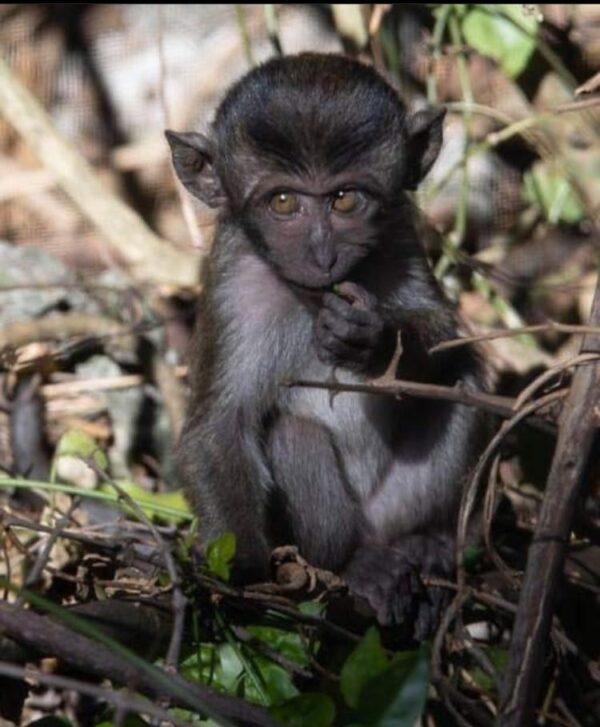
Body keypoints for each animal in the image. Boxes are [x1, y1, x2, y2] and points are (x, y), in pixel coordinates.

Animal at [166, 54, 486, 640]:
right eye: (283, 201)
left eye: (345, 199)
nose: (322, 254)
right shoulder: (233, 286)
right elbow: (218, 426)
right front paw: (240, 574)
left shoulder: (399, 239)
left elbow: (446, 334)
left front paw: (373, 340)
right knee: (293, 433)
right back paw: (356, 563)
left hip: (392, 504)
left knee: (461, 378)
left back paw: (423, 542)